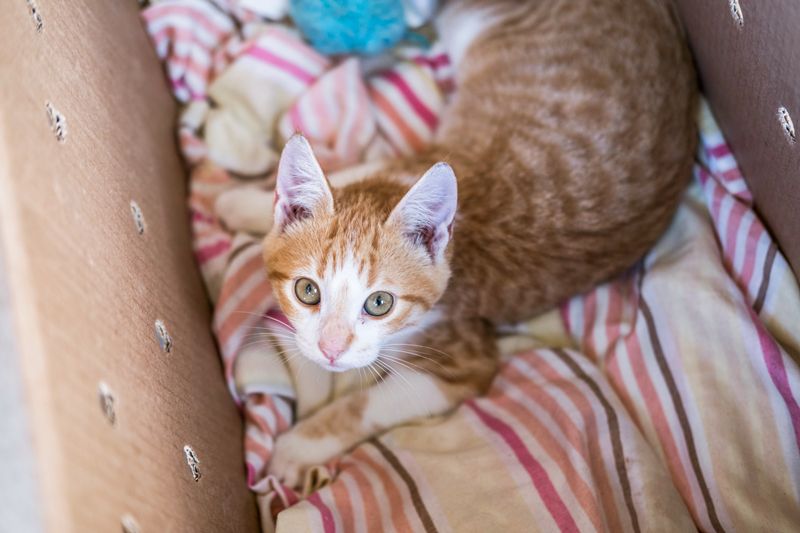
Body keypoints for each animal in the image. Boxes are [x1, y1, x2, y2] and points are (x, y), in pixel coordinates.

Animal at [260, 0, 692, 486]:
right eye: (307, 291)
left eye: (379, 304)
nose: (331, 351)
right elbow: (358, 171)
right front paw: (243, 203)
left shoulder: (464, 361)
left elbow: (366, 403)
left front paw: (298, 445)